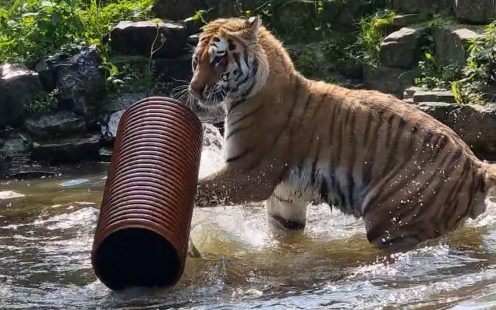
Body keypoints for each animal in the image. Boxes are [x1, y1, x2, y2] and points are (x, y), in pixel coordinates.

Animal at [189, 15, 496, 252]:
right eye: (196, 61)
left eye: (218, 60)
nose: (194, 89)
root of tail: (476, 165)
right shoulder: (285, 199)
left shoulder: (249, 174)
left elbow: (199, 190)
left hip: (395, 220)